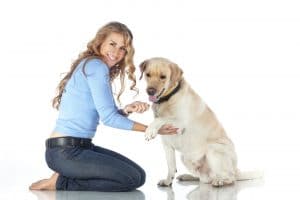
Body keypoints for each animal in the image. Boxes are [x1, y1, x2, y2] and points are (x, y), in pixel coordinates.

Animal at [139, 57, 262, 188]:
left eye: (163, 77)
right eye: (148, 74)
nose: (150, 91)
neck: (168, 99)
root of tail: (236, 170)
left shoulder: (181, 122)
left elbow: (160, 119)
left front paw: (150, 131)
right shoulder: (167, 144)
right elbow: (171, 167)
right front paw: (168, 182)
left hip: (213, 149)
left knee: (230, 178)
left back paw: (221, 181)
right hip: (186, 157)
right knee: (204, 179)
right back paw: (188, 177)